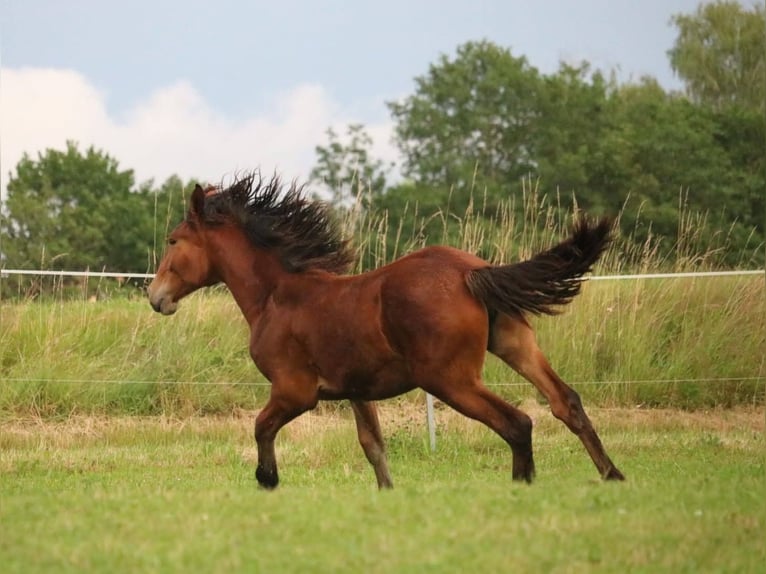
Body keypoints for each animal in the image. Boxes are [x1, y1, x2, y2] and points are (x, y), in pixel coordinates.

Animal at [148, 173, 624, 488]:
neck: (277, 295)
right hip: (516, 346)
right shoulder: (356, 391)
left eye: (173, 240)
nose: (155, 296)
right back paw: (612, 475)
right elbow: (373, 447)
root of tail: (472, 272)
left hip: (451, 379)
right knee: (566, 403)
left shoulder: (294, 391)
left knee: (518, 422)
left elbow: (261, 428)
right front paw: (387, 495)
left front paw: (268, 480)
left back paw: (523, 487)